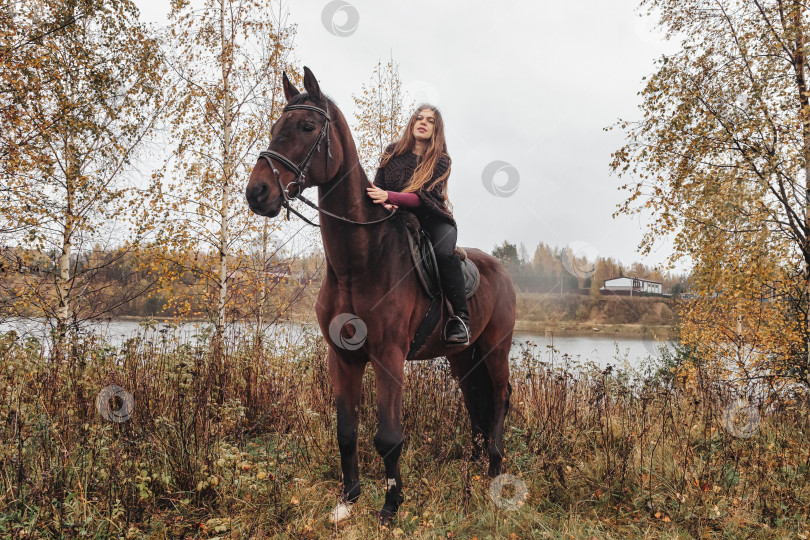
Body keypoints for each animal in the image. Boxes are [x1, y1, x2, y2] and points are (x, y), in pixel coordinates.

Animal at [243, 65, 516, 524]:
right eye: (274, 128)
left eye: (307, 127)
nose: (257, 193)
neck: (359, 262)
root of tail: (503, 272)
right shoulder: (343, 356)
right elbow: (346, 430)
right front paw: (348, 498)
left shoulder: (389, 357)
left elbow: (388, 437)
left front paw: (390, 505)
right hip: (463, 356)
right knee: (473, 400)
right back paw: (475, 465)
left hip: (496, 349)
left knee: (498, 397)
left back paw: (495, 467)